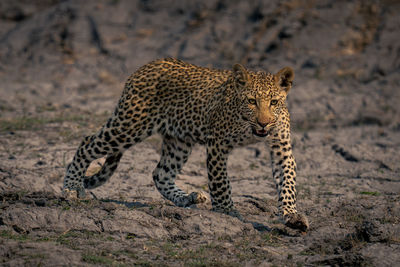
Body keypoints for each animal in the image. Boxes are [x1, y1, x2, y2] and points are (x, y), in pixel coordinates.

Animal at [63, 58, 310, 232]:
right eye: (251, 101)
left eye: (274, 102)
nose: (263, 122)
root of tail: (144, 68)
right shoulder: (217, 143)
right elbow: (220, 183)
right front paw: (227, 211)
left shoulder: (281, 148)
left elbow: (287, 182)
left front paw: (291, 215)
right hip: (129, 127)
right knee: (87, 142)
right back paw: (71, 187)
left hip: (178, 141)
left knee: (160, 173)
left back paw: (187, 198)